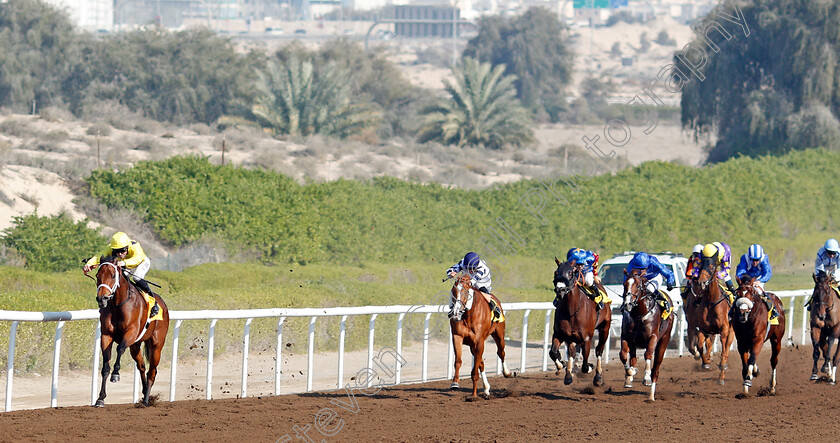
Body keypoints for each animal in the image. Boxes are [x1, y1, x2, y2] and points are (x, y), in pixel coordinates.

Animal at [92, 256, 169, 406]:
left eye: (113, 275)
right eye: (98, 275)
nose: (102, 298)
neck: (117, 305)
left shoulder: (131, 333)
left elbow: (120, 348)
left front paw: (116, 374)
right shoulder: (106, 336)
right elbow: (105, 367)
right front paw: (100, 398)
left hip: (156, 345)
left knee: (152, 371)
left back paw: (146, 400)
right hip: (135, 346)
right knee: (142, 366)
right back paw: (144, 393)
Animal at [552, 258, 612, 386]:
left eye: (570, 273)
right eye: (556, 272)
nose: (560, 290)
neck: (571, 310)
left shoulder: (586, 338)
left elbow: (585, 365)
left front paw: (589, 367)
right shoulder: (561, 334)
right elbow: (554, 352)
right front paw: (562, 366)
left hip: (605, 328)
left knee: (599, 350)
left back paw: (598, 377)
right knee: (572, 352)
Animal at [616, 270, 676, 402]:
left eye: (638, 286)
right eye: (624, 284)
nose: (627, 304)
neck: (639, 315)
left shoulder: (653, 337)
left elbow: (648, 354)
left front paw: (646, 377)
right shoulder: (626, 337)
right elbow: (623, 355)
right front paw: (631, 373)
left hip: (664, 340)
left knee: (656, 369)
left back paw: (651, 395)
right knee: (633, 358)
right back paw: (630, 379)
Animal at [684, 253, 732, 386]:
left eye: (712, 266)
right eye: (700, 267)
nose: (702, 282)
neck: (712, 301)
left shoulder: (724, 329)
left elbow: (724, 350)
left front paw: (721, 365)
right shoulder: (701, 327)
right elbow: (699, 346)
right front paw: (705, 362)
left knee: (726, 350)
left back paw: (722, 376)